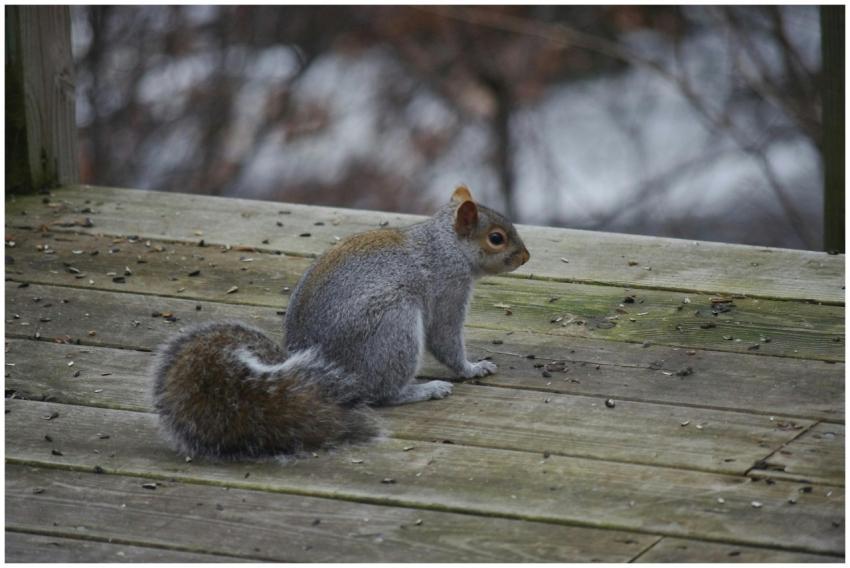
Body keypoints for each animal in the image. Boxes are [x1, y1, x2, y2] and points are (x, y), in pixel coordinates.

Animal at [151, 186, 530, 460]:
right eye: (496, 238)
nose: (526, 257)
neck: (446, 245)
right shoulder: (448, 289)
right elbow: (445, 338)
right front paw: (473, 368)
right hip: (393, 326)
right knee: (381, 394)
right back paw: (424, 390)